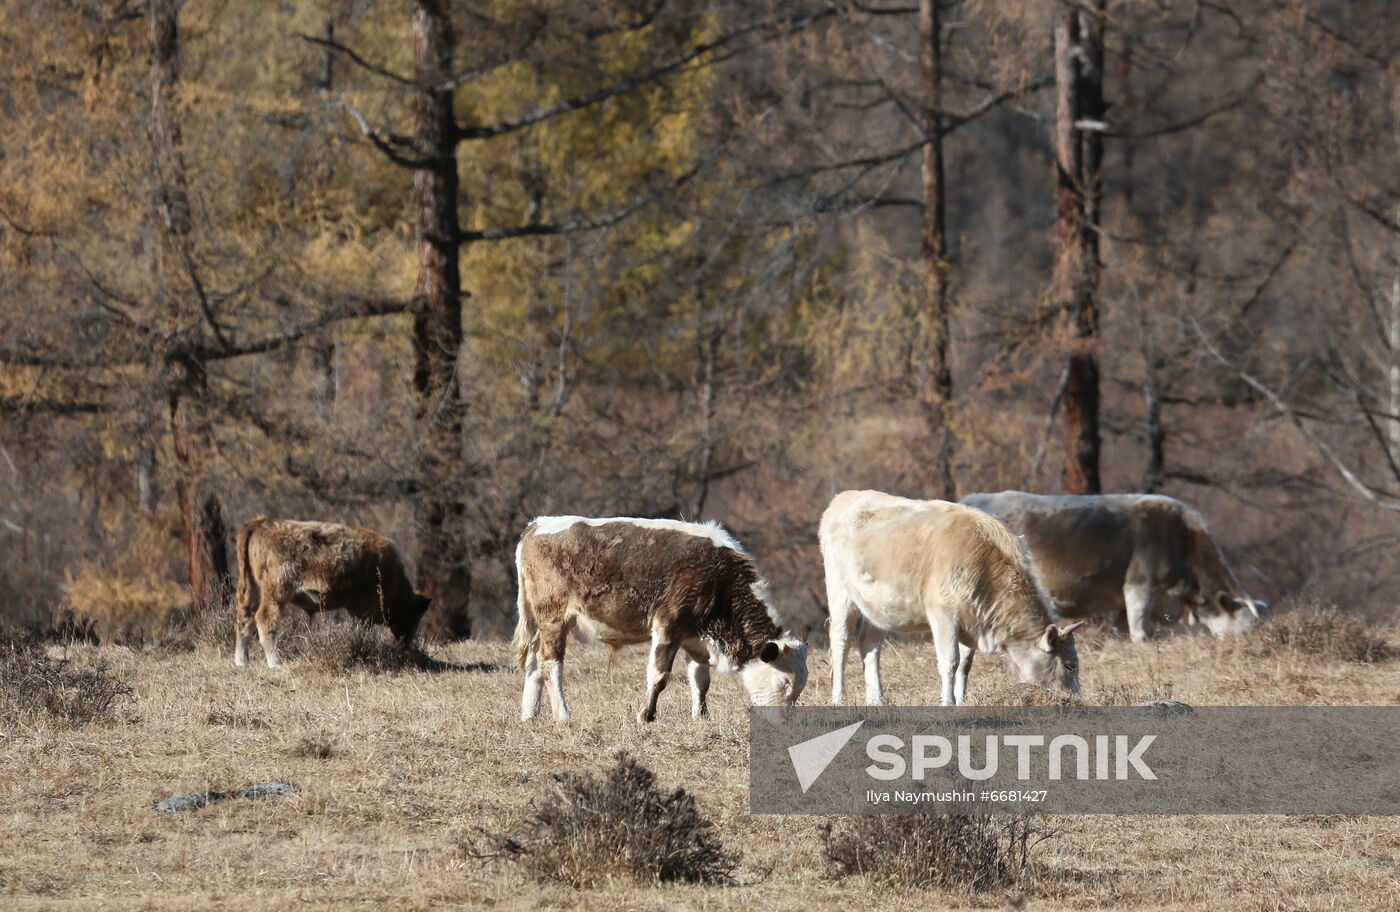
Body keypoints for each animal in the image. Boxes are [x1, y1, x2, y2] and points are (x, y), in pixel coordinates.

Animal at [232, 518, 428, 666]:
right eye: (415, 617)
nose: (406, 643)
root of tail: (261, 522)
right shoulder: (367, 611)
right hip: (276, 592)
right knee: (264, 619)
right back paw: (276, 663)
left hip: (251, 589)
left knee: (245, 619)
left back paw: (242, 662)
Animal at [512, 518, 812, 722]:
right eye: (783, 683)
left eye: (799, 687)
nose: (784, 722)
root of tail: (538, 524)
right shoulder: (669, 626)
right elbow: (659, 676)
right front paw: (646, 715)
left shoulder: (695, 637)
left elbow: (701, 679)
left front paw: (700, 716)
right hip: (554, 618)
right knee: (551, 664)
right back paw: (563, 715)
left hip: (544, 624)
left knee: (534, 661)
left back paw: (529, 714)